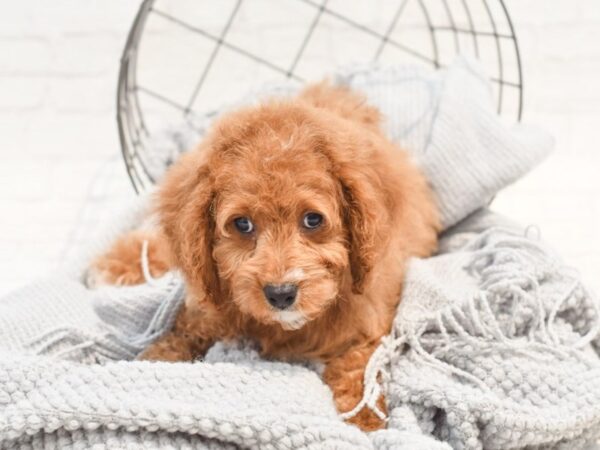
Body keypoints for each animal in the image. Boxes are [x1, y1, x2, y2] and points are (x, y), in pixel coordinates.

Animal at [91, 82, 442, 430]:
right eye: (242, 224)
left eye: (312, 220)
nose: (281, 294)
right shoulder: (209, 307)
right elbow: (179, 334)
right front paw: (151, 362)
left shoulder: (369, 315)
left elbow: (361, 366)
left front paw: (363, 417)